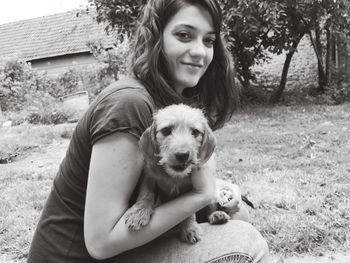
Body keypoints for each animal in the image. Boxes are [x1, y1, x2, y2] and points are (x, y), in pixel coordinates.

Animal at [123, 104, 216, 244]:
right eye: (166, 130)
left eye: (195, 132)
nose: (183, 155)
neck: (174, 177)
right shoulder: (148, 176)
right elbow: (146, 194)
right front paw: (138, 213)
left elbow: (190, 210)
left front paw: (190, 228)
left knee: (211, 206)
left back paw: (217, 215)